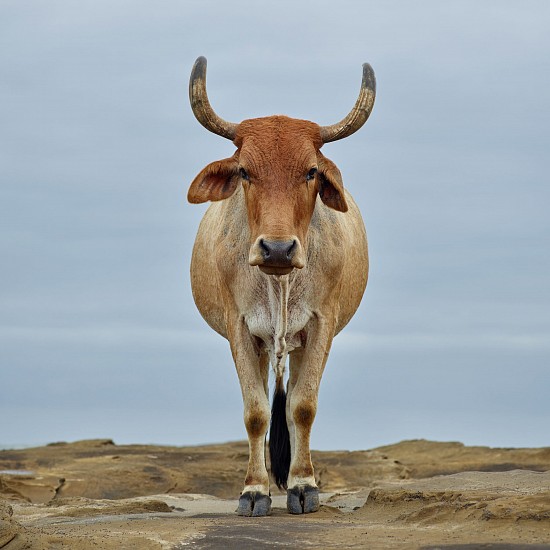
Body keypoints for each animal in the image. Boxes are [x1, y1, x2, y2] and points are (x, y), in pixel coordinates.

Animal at [189, 56, 376, 516]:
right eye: (244, 170)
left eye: (310, 171)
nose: (276, 248)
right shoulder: (239, 328)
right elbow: (256, 412)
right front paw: (255, 491)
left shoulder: (322, 325)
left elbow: (302, 407)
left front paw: (303, 485)